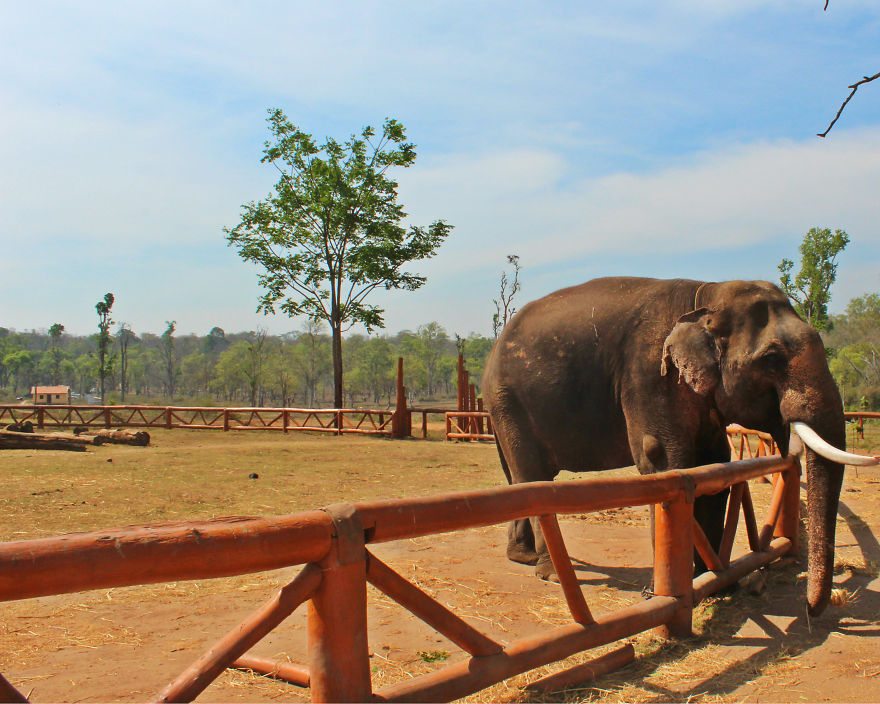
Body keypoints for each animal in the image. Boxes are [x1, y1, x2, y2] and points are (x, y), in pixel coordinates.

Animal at [482, 276, 861, 616]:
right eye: (771, 358)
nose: (812, 607)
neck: (706, 295)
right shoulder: (651, 373)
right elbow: (664, 462)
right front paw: (660, 593)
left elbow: (714, 468)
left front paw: (712, 583)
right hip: (509, 402)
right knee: (532, 477)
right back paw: (550, 572)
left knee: (516, 477)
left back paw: (523, 556)